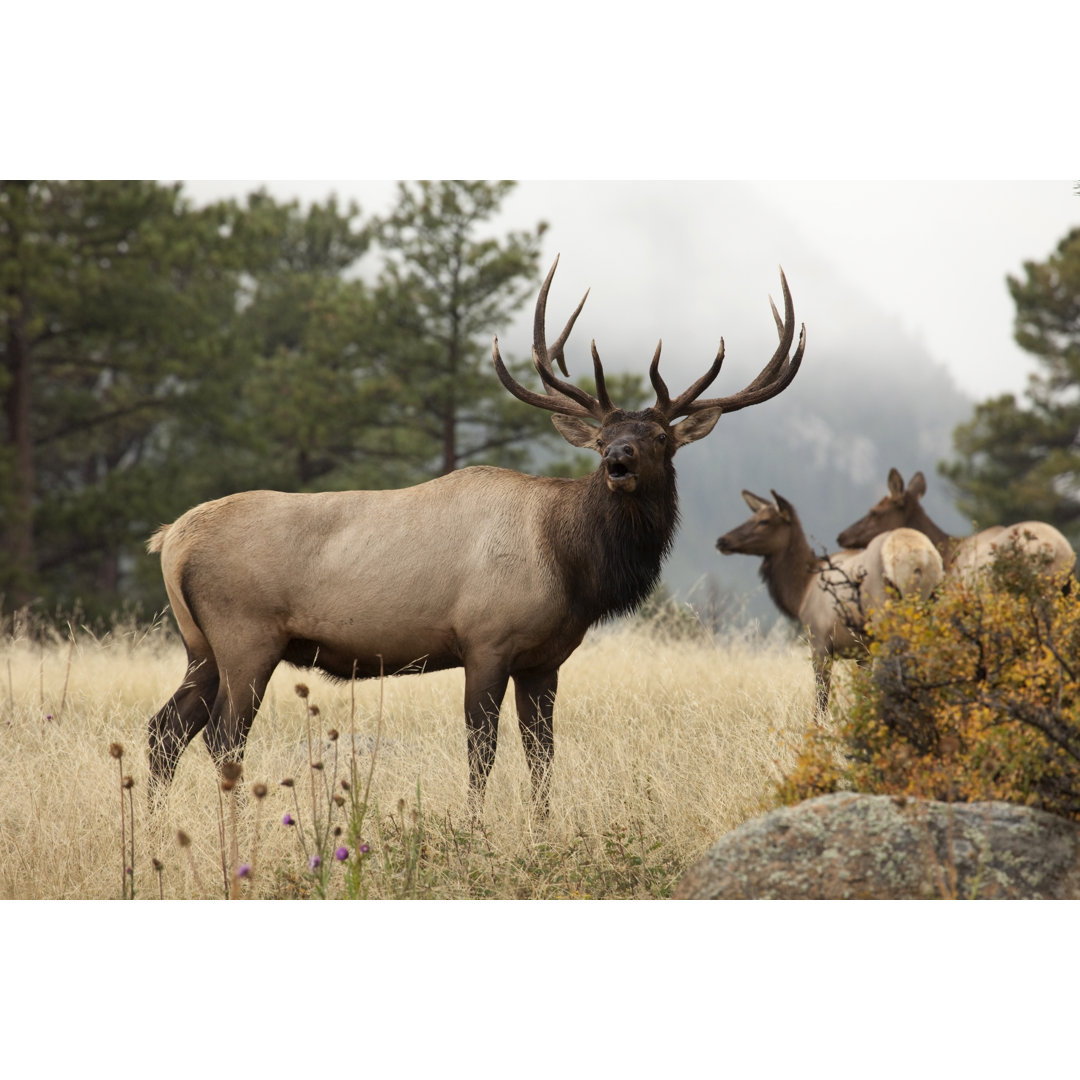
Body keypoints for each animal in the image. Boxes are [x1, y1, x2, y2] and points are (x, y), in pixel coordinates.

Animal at [150, 254, 812, 812]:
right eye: (603, 437)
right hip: (246, 636)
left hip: (200, 645)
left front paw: (542, 829)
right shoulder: (486, 640)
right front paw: (474, 830)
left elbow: (543, 757)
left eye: (658, 438)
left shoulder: (545, 660)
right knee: (222, 738)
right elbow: (483, 753)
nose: (617, 462)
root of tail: (170, 539)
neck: (571, 564)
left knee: (165, 730)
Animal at [721, 492, 941, 717]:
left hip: (885, 616)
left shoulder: (819, 640)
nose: (723, 540)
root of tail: (921, 560)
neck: (801, 593)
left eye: (764, 521)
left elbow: (822, 697)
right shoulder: (862, 651)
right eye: (751, 517)